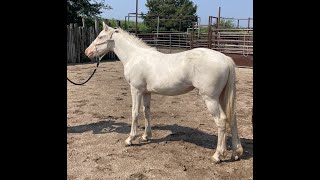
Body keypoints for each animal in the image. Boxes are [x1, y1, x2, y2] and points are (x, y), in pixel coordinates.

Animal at [84, 22, 242, 163]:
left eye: (100, 37)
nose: (87, 52)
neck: (135, 57)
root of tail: (225, 58)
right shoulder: (146, 92)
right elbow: (147, 112)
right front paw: (146, 136)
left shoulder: (136, 90)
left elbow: (135, 113)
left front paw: (130, 139)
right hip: (221, 97)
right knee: (232, 118)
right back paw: (235, 153)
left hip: (210, 98)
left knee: (221, 121)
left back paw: (217, 155)